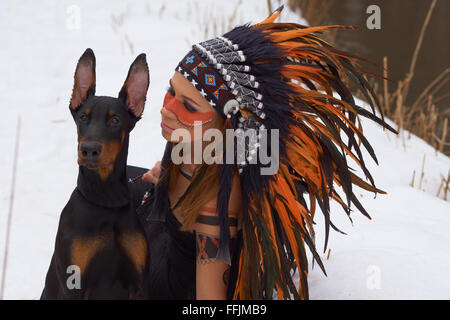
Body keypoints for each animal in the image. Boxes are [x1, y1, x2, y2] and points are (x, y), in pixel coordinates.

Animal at [40, 48, 149, 298]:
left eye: (115, 120)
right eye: (83, 117)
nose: (88, 150)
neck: (106, 201)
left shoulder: (138, 285)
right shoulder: (74, 285)